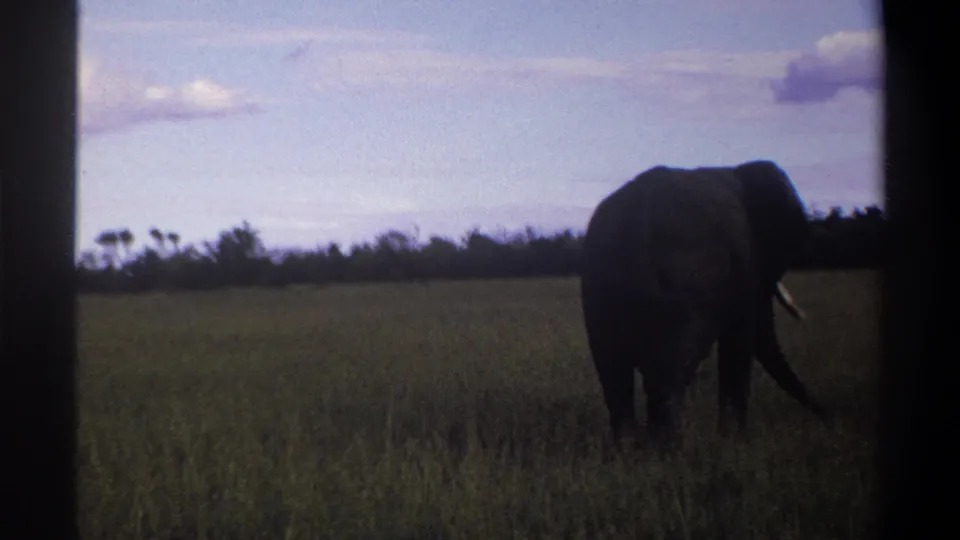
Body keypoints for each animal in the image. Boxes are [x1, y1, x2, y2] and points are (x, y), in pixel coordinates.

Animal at [579, 159, 830, 447]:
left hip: (598, 292)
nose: (829, 418)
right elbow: (740, 342)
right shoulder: (745, 264)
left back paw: (630, 449)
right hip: (679, 288)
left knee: (615, 375)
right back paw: (669, 449)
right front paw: (735, 441)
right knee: (667, 375)